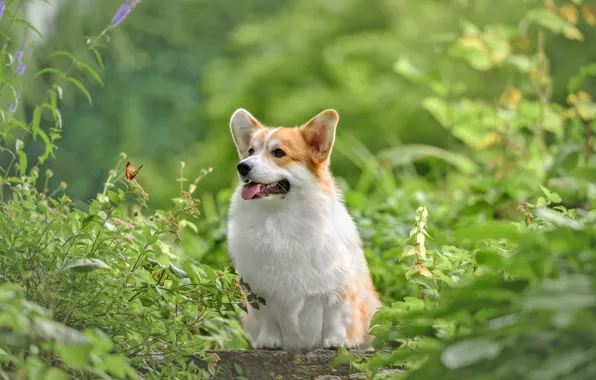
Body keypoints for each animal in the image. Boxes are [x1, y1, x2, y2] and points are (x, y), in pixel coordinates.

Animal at [224, 107, 382, 350]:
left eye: (278, 153)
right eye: (250, 151)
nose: (242, 166)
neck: (281, 218)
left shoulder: (337, 289)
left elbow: (335, 318)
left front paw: (335, 342)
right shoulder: (260, 292)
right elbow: (269, 319)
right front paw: (270, 341)